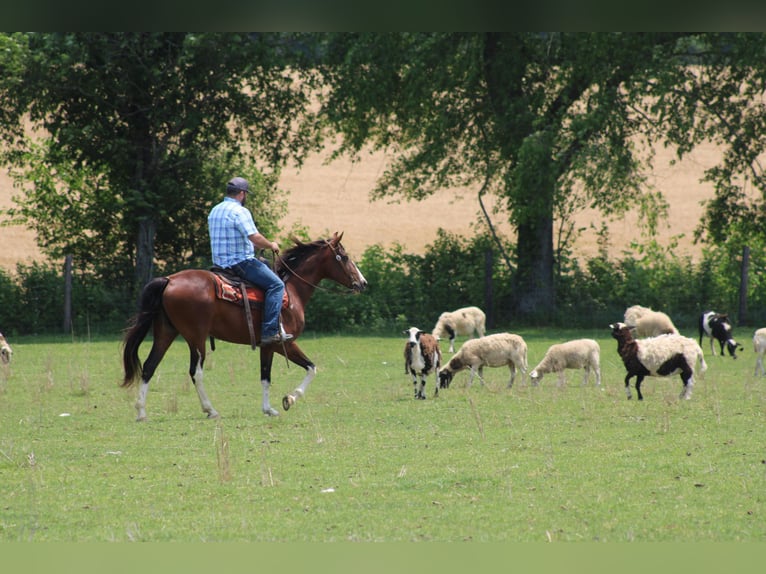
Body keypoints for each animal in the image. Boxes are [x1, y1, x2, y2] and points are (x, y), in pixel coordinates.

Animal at [121, 232, 368, 420]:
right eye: (344, 257)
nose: (363, 283)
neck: (291, 291)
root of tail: (169, 280)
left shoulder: (267, 346)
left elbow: (266, 376)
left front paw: (269, 408)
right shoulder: (283, 343)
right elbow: (310, 368)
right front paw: (289, 399)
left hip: (166, 332)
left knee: (149, 365)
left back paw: (141, 412)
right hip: (196, 337)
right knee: (195, 372)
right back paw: (210, 410)